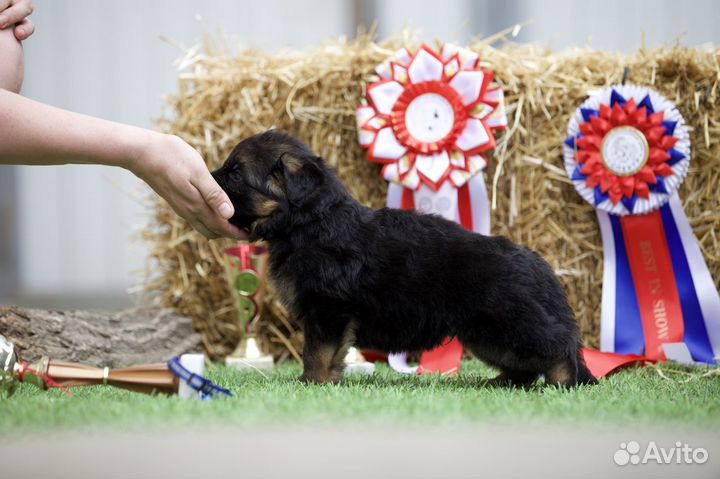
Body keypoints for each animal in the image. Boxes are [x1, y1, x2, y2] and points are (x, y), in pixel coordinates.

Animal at [212, 131, 596, 390]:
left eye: (235, 173)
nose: (210, 178)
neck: (310, 223)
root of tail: (539, 266)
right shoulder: (329, 315)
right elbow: (330, 354)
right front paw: (325, 382)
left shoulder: (327, 310)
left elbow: (317, 352)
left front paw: (311, 382)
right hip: (488, 333)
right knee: (527, 363)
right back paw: (501, 382)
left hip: (511, 322)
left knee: (558, 347)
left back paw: (563, 383)